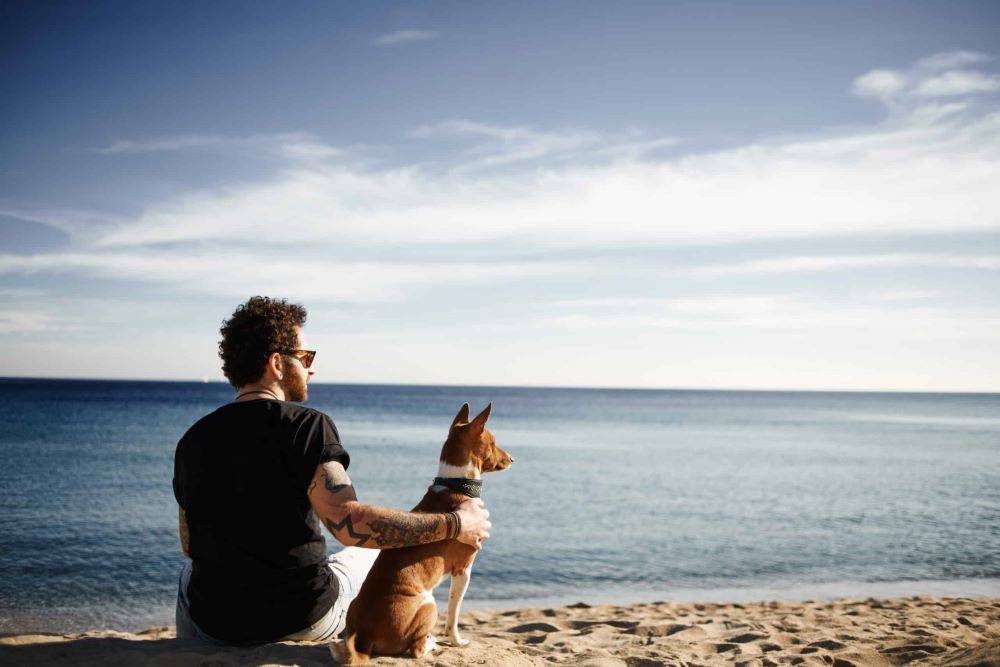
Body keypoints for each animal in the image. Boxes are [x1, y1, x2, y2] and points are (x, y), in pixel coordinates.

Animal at [332, 402, 512, 664]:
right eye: (493, 442)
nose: (512, 459)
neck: (457, 484)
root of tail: (366, 636)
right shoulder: (463, 569)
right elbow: (454, 615)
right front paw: (457, 641)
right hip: (429, 602)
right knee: (416, 649)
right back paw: (430, 643)